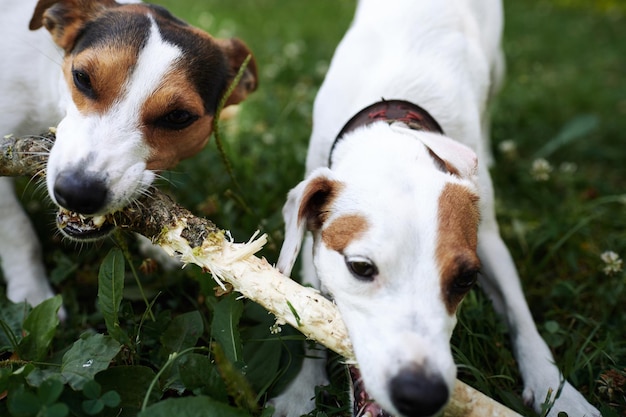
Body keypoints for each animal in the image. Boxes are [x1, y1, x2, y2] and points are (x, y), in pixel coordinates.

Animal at [272, 0, 600, 416]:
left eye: (467, 278)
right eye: (360, 267)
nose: (422, 394)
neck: (392, 127)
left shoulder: (488, 239)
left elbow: (519, 312)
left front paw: (554, 386)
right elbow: (307, 306)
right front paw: (301, 390)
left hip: (497, 67)